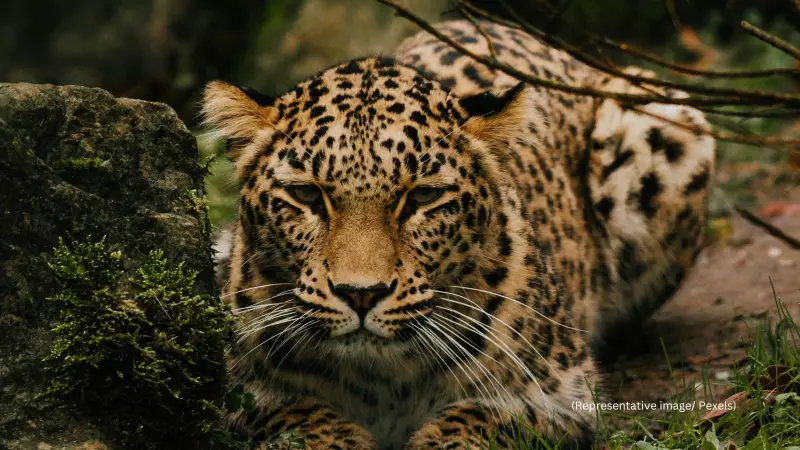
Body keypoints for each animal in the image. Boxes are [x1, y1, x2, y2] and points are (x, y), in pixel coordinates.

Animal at [202, 19, 715, 450]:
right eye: (307, 195)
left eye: (423, 197)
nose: (360, 294)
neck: (380, 380)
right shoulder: (243, 393)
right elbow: (304, 420)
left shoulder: (559, 392)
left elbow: (474, 421)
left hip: (663, 121)